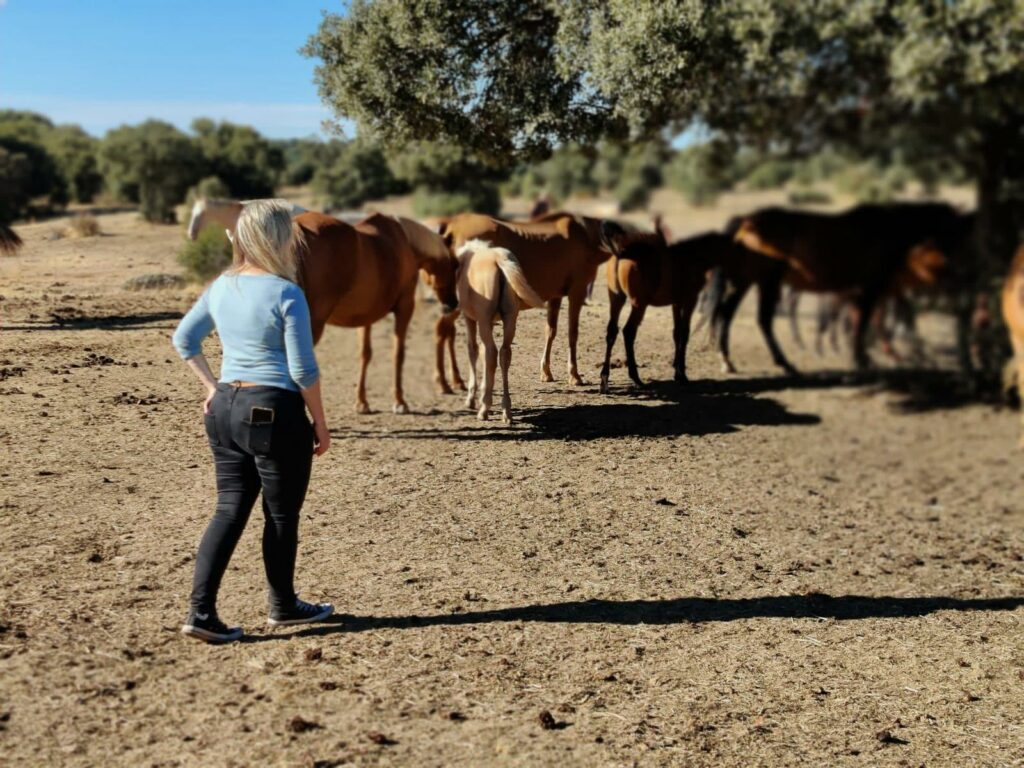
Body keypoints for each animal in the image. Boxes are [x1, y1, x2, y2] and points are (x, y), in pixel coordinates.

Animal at [294, 210, 458, 415]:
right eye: (455, 264)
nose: (453, 304)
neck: (406, 242)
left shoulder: (365, 316)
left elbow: (365, 354)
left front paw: (362, 403)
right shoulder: (405, 308)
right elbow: (398, 353)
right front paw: (400, 402)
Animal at [438, 214, 610, 387]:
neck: (586, 234)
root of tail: (451, 228)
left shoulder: (556, 296)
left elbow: (550, 331)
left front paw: (546, 372)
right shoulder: (577, 292)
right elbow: (572, 333)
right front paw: (574, 375)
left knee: (447, 331)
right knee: (443, 330)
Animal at [458, 239, 548, 423]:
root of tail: (499, 261)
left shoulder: (469, 318)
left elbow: (473, 350)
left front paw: (471, 399)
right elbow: (483, 352)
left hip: (484, 320)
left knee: (492, 352)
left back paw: (484, 410)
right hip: (510, 318)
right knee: (504, 354)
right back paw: (506, 411)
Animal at [598, 222, 729, 391]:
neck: (692, 257)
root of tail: (622, 252)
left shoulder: (676, 303)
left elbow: (676, 333)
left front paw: (677, 371)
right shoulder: (689, 301)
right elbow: (684, 333)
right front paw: (682, 375)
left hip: (616, 299)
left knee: (612, 332)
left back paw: (604, 379)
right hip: (639, 304)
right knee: (628, 332)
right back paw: (636, 378)